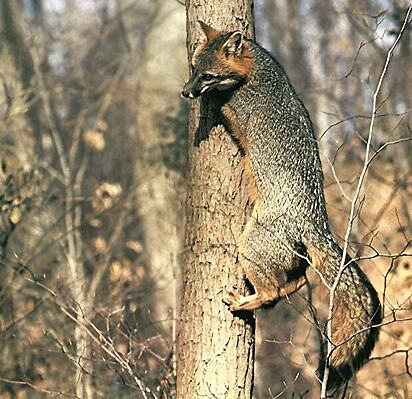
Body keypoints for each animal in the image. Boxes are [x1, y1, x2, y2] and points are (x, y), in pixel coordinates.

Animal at [182, 23, 382, 396]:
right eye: (192, 69)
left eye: (208, 75)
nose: (185, 92)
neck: (261, 73)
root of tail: (316, 221)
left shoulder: (235, 114)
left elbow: (219, 105)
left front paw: (207, 104)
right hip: (286, 260)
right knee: (296, 283)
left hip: (248, 247)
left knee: (272, 292)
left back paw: (243, 301)